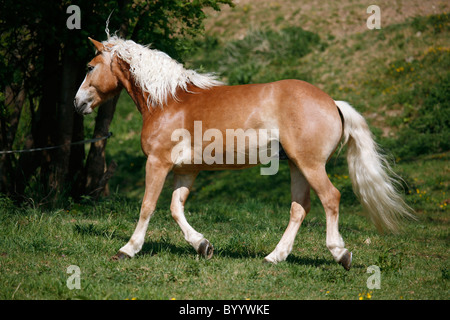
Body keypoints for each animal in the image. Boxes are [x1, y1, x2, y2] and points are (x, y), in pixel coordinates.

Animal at [74, 37, 414, 270]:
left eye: (90, 67)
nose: (78, 103)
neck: (169, 101)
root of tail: (333, 103)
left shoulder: (158, 163)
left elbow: (148, 206)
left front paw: (128, 249)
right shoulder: (186, 170)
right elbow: (174, 208)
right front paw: (203, 246)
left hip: (311, 164)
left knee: (330, 198)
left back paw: (340, 253)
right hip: (297, 166)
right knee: (299, 208)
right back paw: (274, 257)